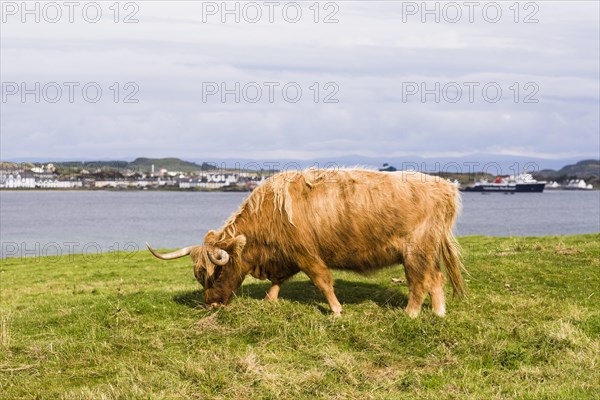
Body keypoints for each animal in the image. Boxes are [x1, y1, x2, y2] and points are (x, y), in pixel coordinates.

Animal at [148, 167, 466, 318]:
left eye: (217, 273)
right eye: (199, 276)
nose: (211, 305)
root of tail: (445, 186)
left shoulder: (305, 252)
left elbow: (322, 280)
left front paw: (336, 310)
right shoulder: (286, 255)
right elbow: (279, 280)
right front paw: (270, 299)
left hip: (415, 251)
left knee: (419, 282)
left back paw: (410, 314)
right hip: (428, 251)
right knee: (436, 279)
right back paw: (438, 313)